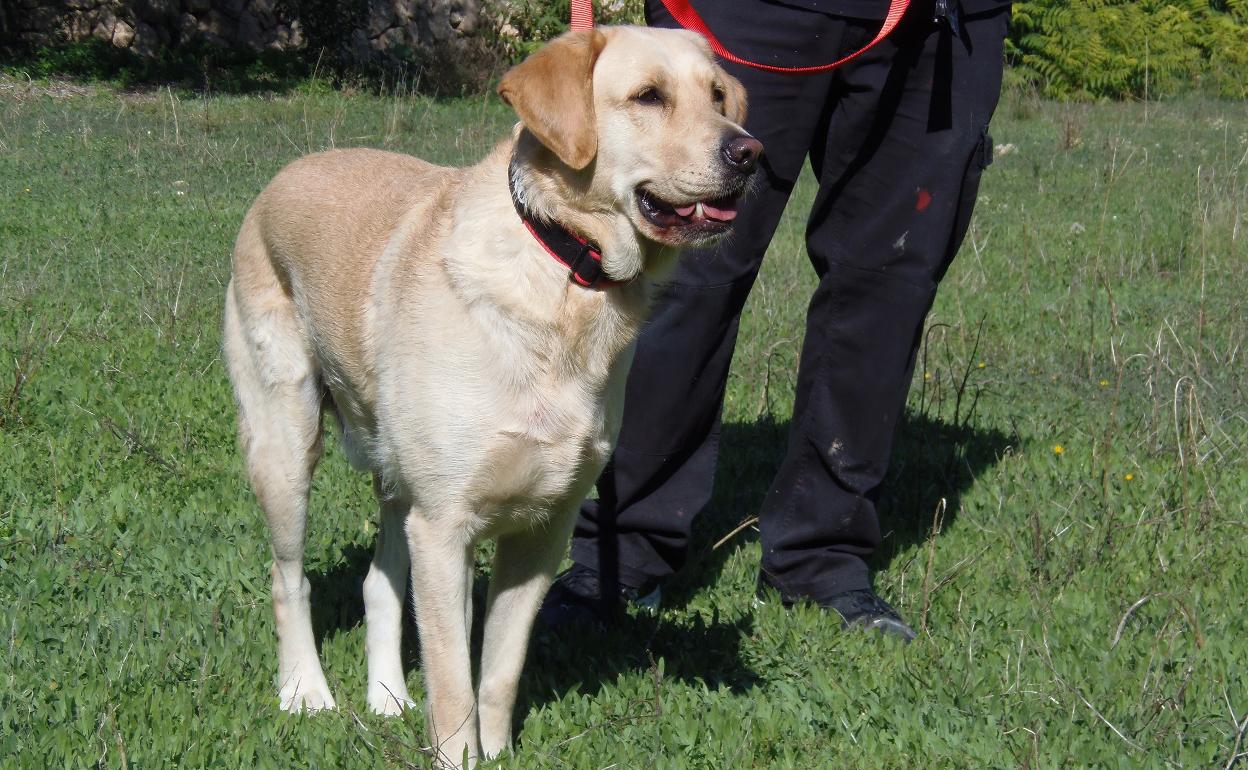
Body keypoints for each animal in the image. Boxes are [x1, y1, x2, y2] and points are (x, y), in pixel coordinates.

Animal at [224, 25, 758, 768]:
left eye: (718, 97)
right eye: (648, 97)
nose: (750, 153)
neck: (565, 273)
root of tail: (286, 173)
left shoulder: (542, 532)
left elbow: (498, 673)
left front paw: (498, 751)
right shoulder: (446, 528)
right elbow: (454, 686)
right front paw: (458, 755)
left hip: (398, 478)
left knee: (379, 583)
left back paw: (386, 697)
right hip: (287, 445)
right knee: (288, 579)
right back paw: (305, 691)